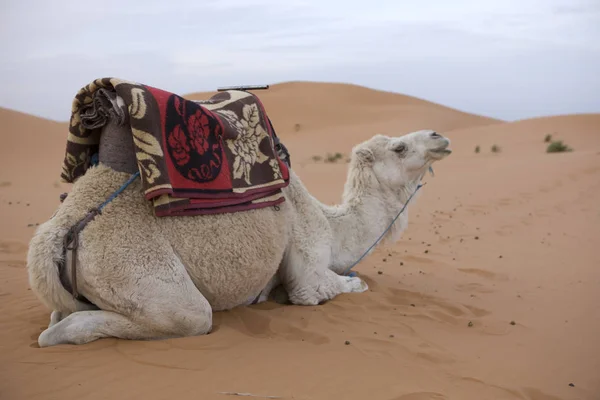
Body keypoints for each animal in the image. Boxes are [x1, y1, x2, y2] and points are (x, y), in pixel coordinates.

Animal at [27, 129, 450, 346]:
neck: (332, 227)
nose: (439, 136)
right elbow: (347, 285)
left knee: (61, 314)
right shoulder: (308, 271)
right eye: (399, 147)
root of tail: (56, 232)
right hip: (132, 267)